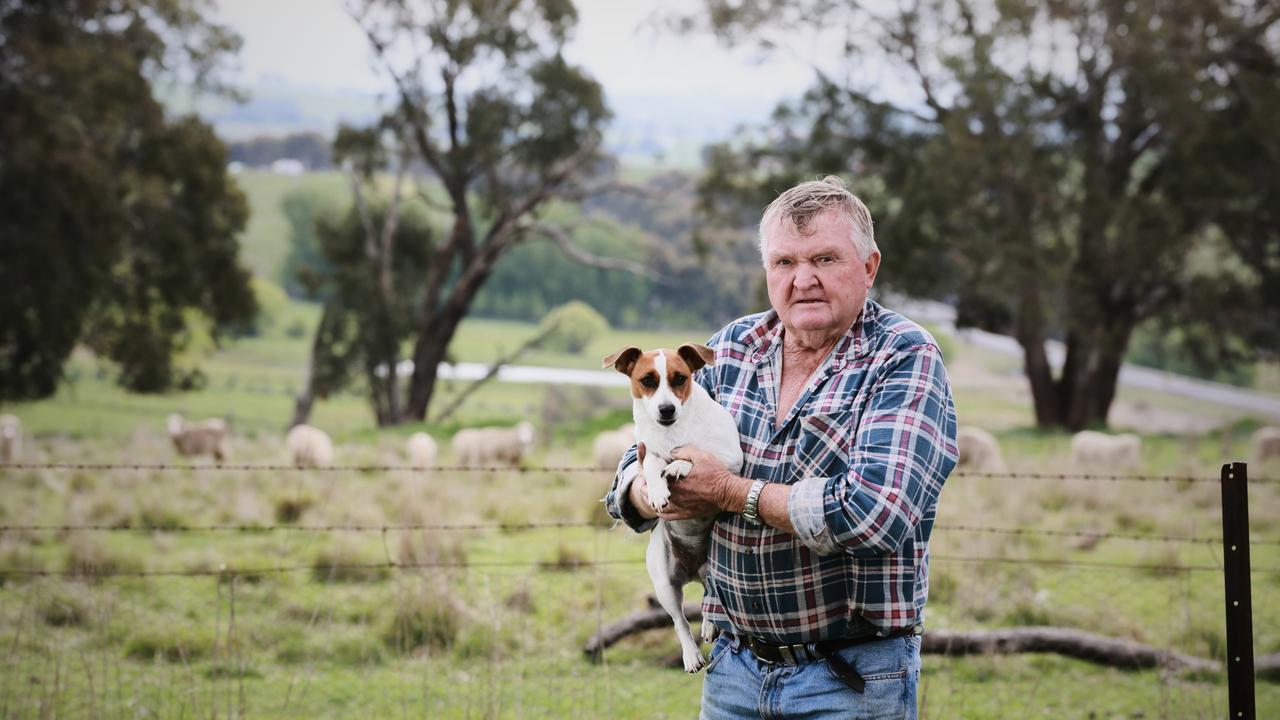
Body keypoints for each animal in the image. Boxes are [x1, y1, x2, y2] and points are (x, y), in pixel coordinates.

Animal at [604, 345, 747, 671]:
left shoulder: (732, 459)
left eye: (679, 377)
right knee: (680, 621)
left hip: (712, 572)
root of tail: (693, 571)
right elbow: (652, 463)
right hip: (665, 585)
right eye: (647, 380)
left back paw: (708, 625)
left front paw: (680, 465)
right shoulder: (645, 452)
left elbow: (701, 458)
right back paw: (692, 654)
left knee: (711, 600)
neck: (674, 433)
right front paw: (658, 489)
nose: (667, 409)